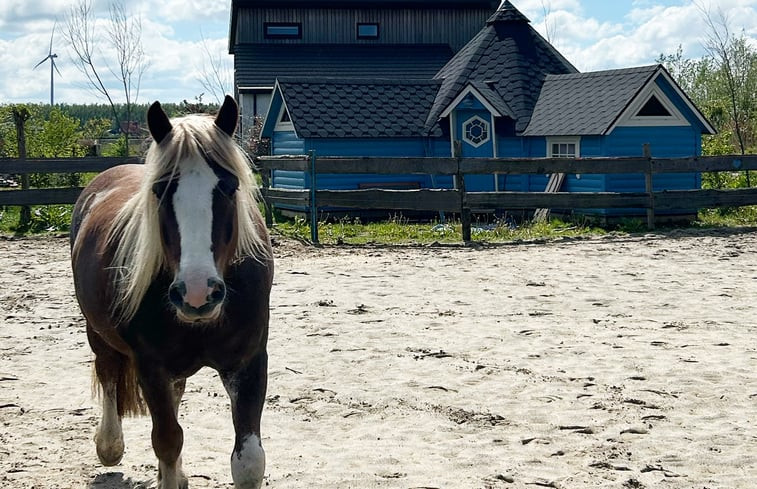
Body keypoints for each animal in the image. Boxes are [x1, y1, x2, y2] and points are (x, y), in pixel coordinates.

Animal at [69, 96, 274, 488]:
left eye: (228, 187)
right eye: (159, 190)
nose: (197, 293)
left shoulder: (249, 362)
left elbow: (249, 462)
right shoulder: (152, 366)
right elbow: (166, 439)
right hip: (98, 334)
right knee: (108, 374)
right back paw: (110, 444)